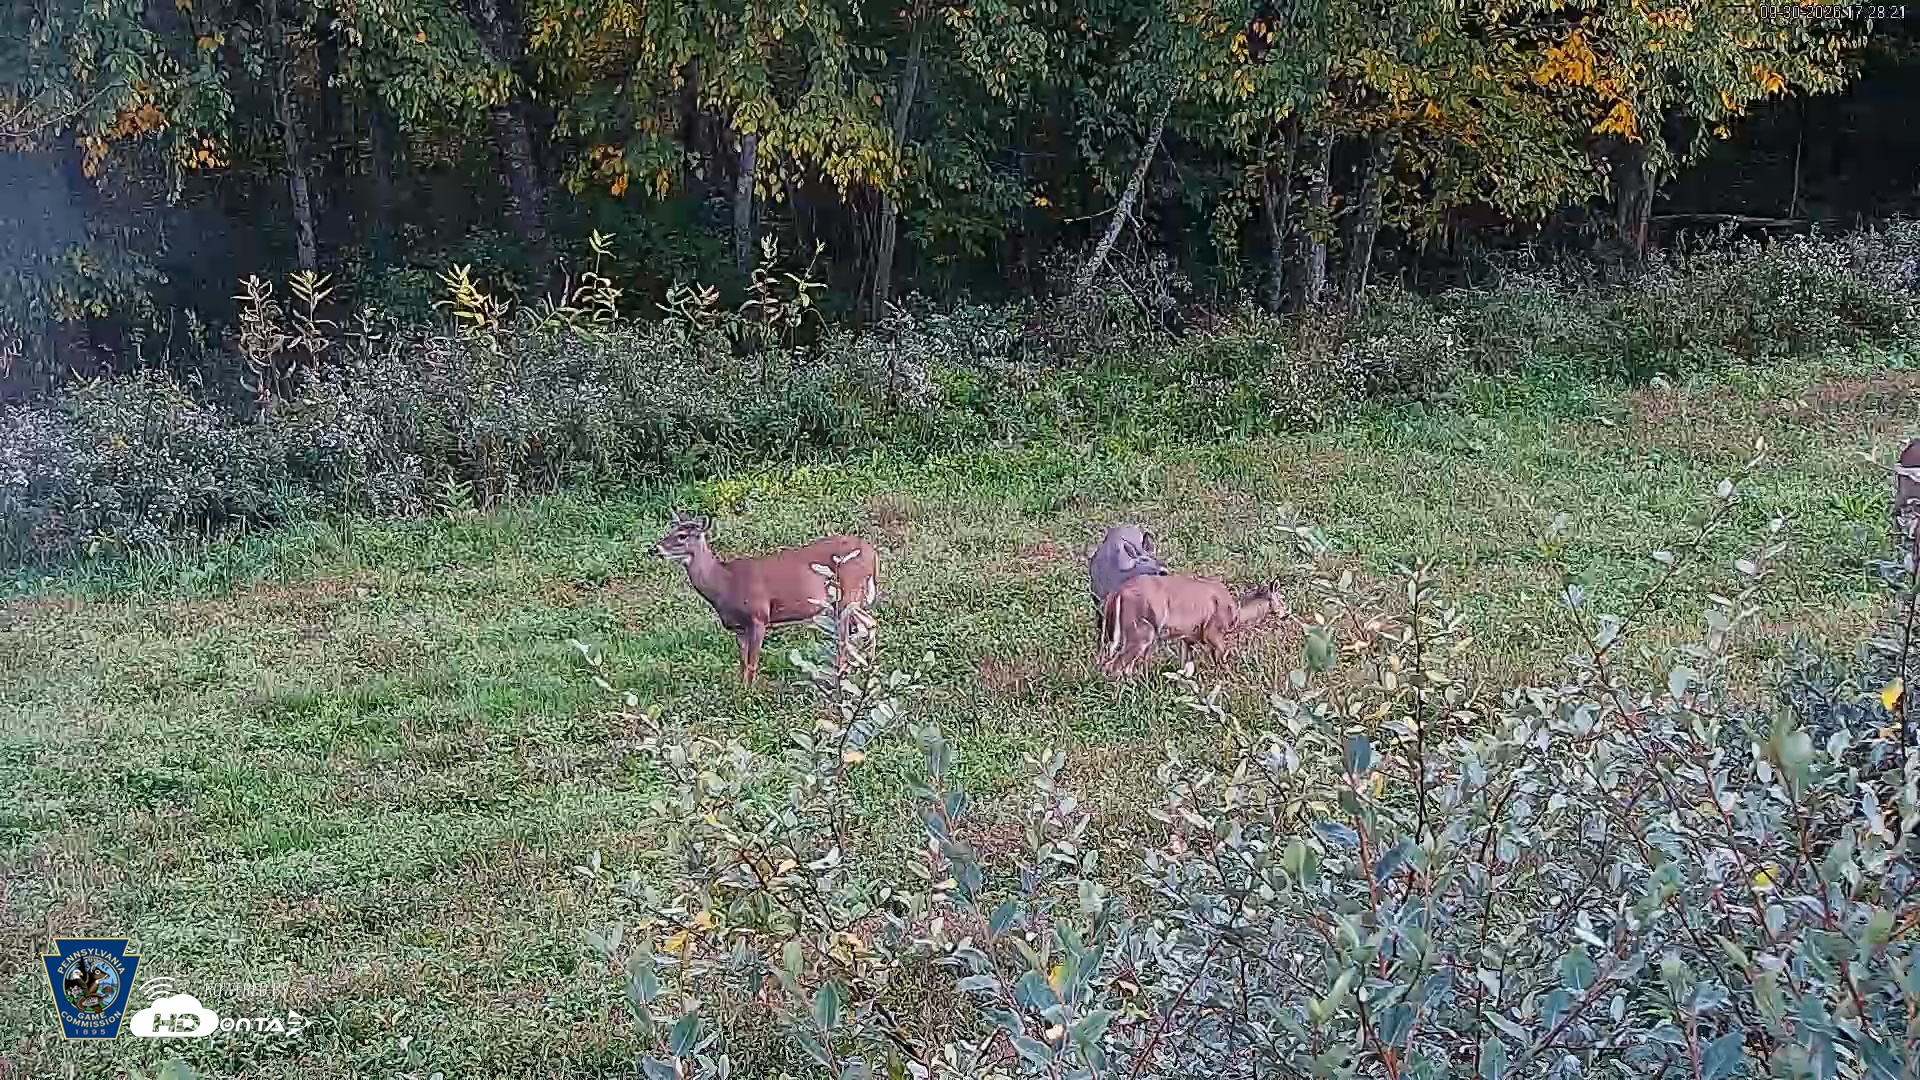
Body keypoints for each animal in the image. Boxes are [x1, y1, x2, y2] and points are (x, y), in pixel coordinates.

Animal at [653, 510, 879, 684]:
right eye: (671, 530)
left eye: (682, 535)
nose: (654, 548)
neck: (725, 583)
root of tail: (873, 554)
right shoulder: (738, 627)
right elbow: (743, 663)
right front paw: (740, 691)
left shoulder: (759, 617)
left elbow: (752, 663)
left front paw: (750, 696)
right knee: (869, 624)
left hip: (848, 593)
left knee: (850, 635)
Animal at [1099, 573, 1290, 677]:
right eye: (1281, 599)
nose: (1286, 612)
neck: (1235, 613)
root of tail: (1118, 592)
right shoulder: (1213, 632)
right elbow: (1222, 661)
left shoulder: (1188, 637)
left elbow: (1187, 668)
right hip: (1141, 631)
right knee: (1114, 666)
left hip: (1118, 633)